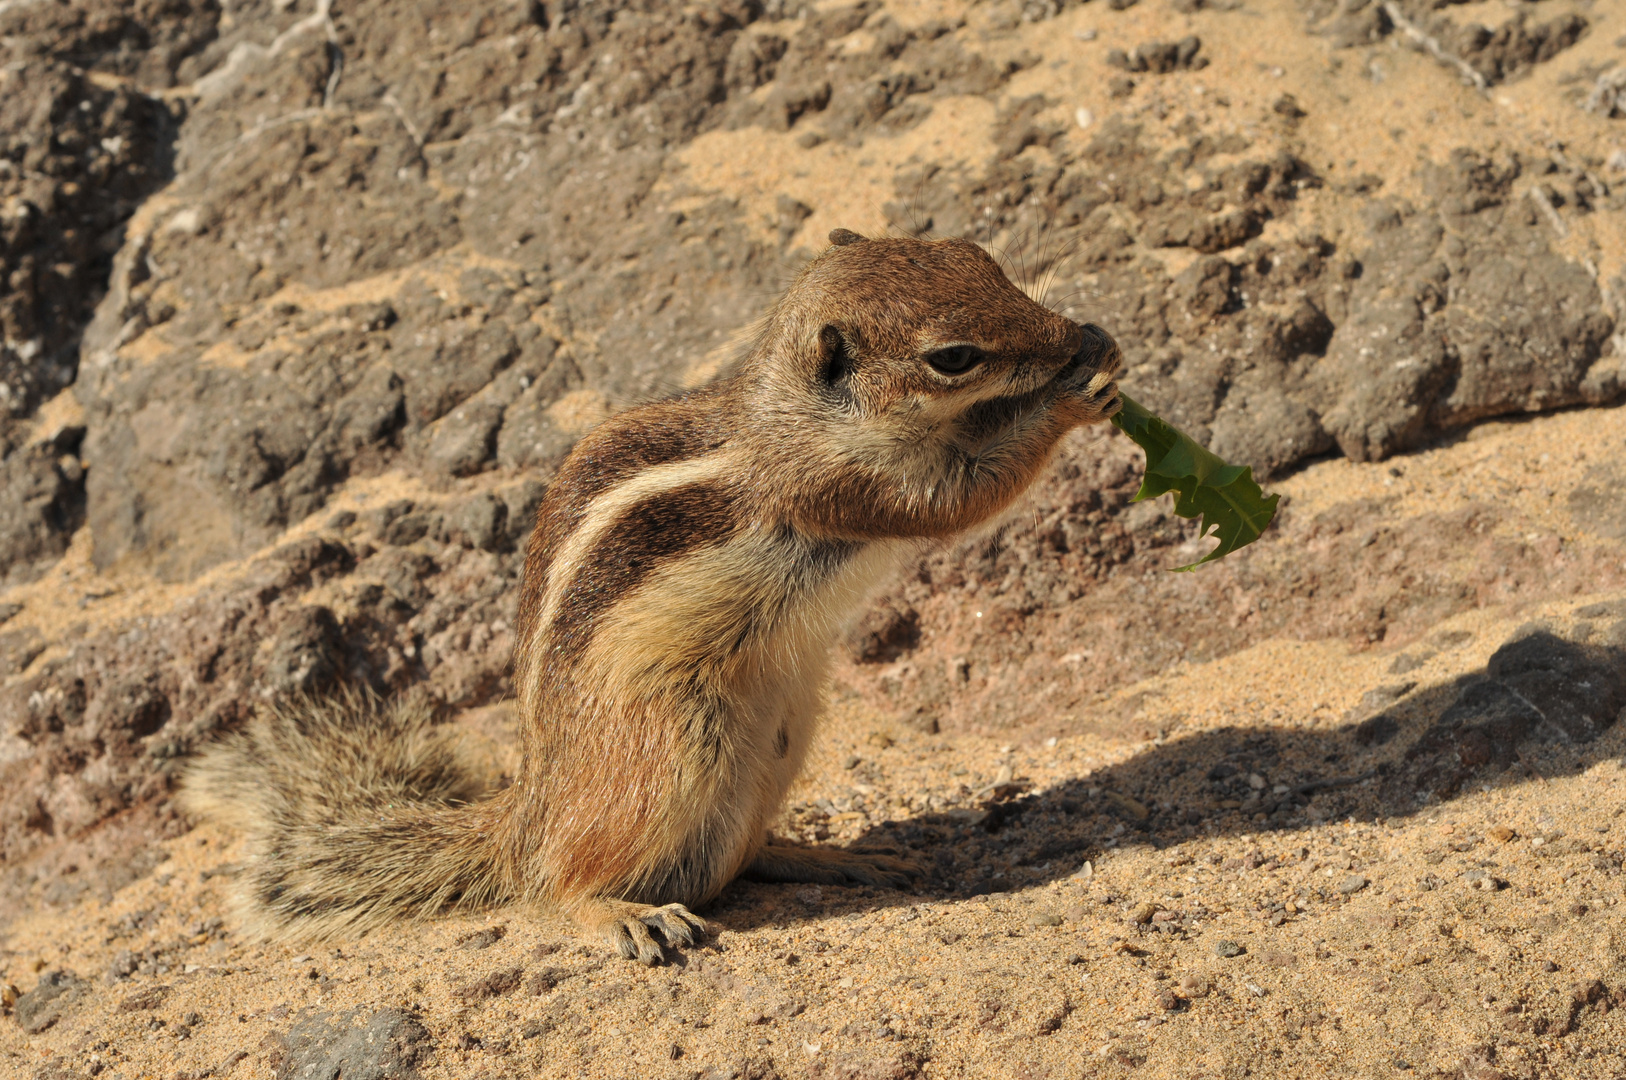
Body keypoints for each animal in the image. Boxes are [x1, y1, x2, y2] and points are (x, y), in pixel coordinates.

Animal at [178, 227, 1118, 962]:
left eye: (980, 258)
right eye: (951, 357)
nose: (1073, 334)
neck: (795, 408)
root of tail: (527, 813)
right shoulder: (837, 484)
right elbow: (959, 499)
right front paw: (1076, 397)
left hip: (783, 734)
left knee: (736, 857)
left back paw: (832, 858)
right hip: (670, 749)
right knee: (556, 885)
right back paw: (620, 915)